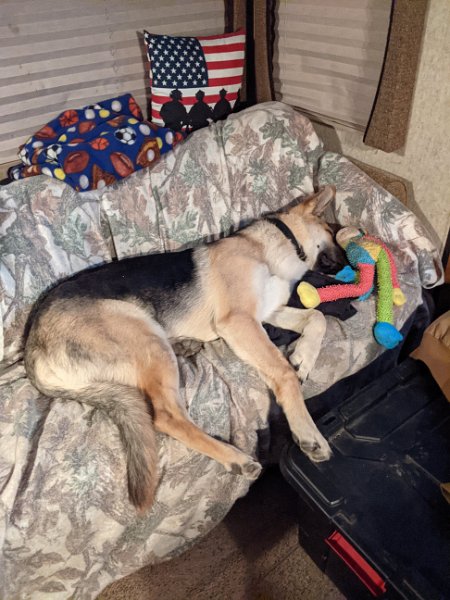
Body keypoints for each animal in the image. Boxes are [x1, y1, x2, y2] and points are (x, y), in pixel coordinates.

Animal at [24, 184, 342, 510]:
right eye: (332, 231)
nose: (348, 264)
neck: (271, 244)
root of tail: (33, 348)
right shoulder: (239, 321)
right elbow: (284, 372)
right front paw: (308, 432)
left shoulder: (264, 314)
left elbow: (317, 318)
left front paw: (303, 358)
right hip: (145, 333)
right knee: (166, 416)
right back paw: (235, 458)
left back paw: (185, 344)